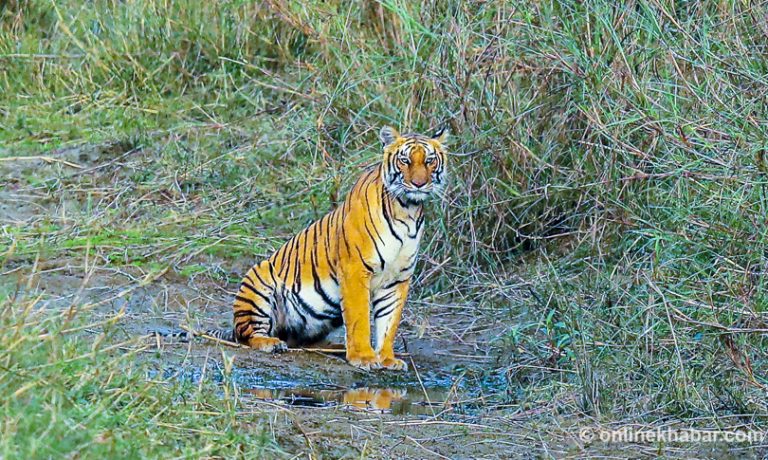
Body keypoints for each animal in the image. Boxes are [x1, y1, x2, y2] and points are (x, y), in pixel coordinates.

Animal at [232, 126, 450, 370]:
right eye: (405, 160)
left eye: (430, 161)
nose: (419, 184)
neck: (407, 210)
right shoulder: (355, 270)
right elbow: (360, 318)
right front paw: (364, 357)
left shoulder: (397, 280)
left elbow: (388, 323)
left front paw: (387, 359)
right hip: (258, 282)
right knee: (248, 334)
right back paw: (271, 343)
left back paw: (335, 347)